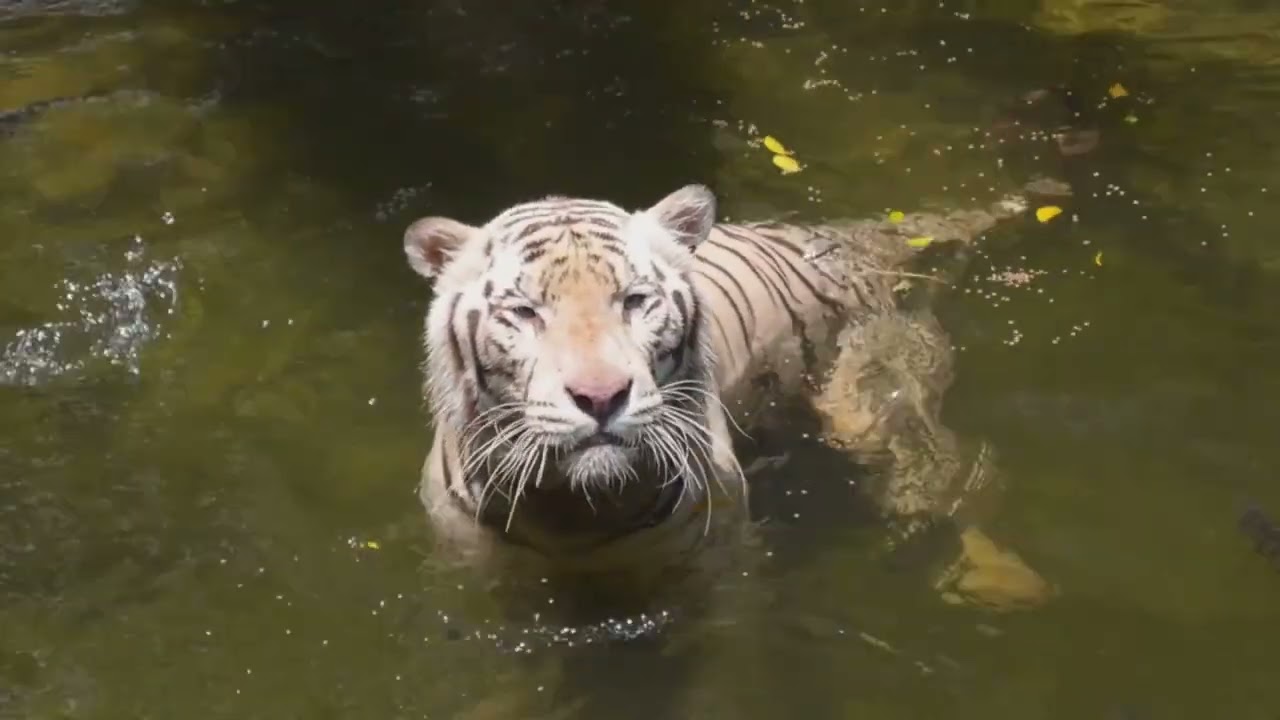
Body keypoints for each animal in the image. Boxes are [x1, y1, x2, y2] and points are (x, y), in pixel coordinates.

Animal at [401, 182, 1053, 614]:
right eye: (525, 312)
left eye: (635, 301)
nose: (601, 396)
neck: (576, 515)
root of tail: (846, 239)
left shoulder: (712, 565)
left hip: (871, 401)